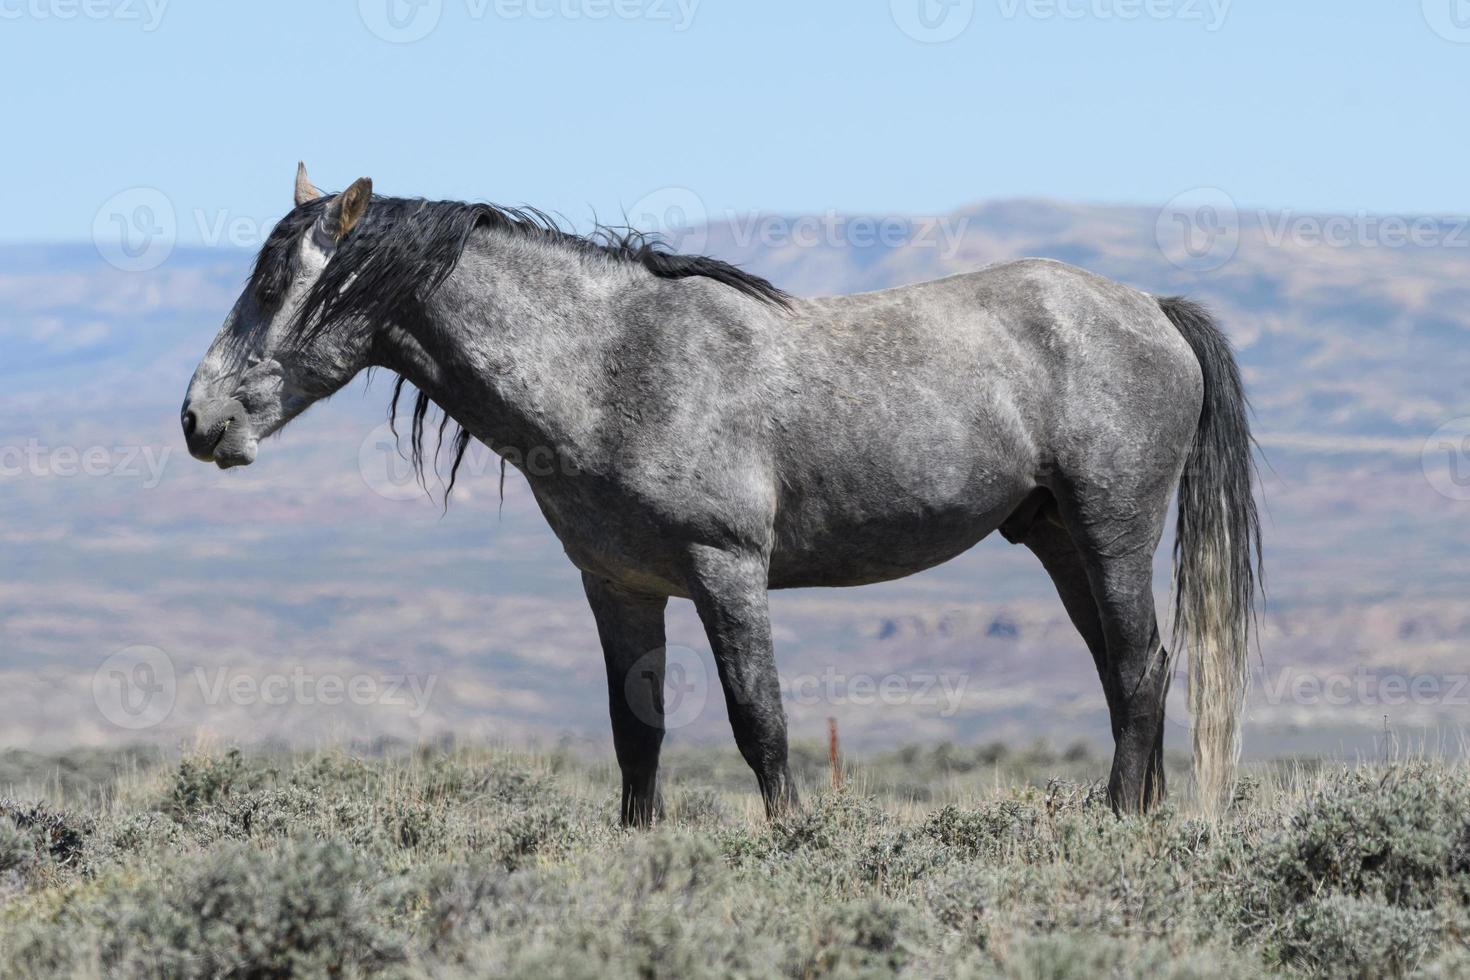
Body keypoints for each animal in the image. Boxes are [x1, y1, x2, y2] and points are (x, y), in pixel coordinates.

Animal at [183, 164, 1258, 822]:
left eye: (279, 284)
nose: (199, 420)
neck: (612, 366)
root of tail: (1152, 308)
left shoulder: (726, 571)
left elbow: (759, 721)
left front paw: (789, 839)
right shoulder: (619, 588)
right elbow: (638, 734)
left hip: (1111, 529)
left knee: (1138, 670)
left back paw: (1118, 818)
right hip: (1054, 537)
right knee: (1132, 671)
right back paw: (1141, 809)